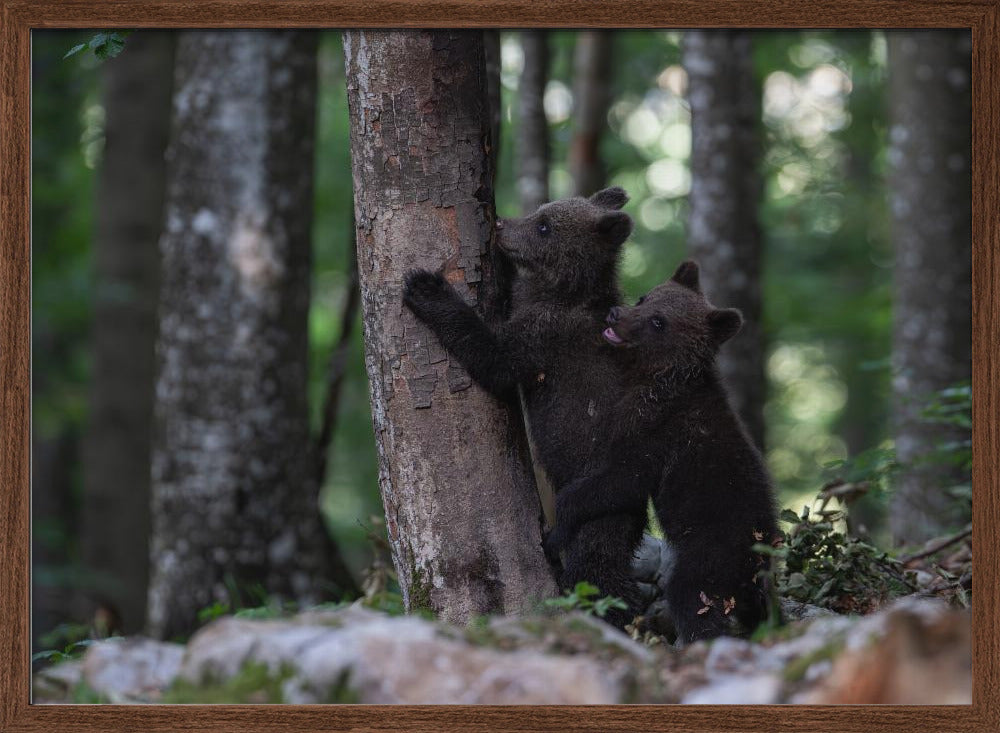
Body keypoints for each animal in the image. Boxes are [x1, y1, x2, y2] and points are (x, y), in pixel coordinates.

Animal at [402, 187, 648, 628]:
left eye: (545, 226)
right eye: (540, 212)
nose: (501, 225)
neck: (562, 291)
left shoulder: (544, 337)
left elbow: (494, 359)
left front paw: (427, 287)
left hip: (599, 495)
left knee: (596, 563)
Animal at [541, 260, 780, 643]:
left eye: (658, 322)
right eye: (644, 297)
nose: (616, 313)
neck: (657, 379)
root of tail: (757, 560)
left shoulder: (656, 434)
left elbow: (620, 480)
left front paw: (556, 528)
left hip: (711, 553)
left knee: (690, 596)